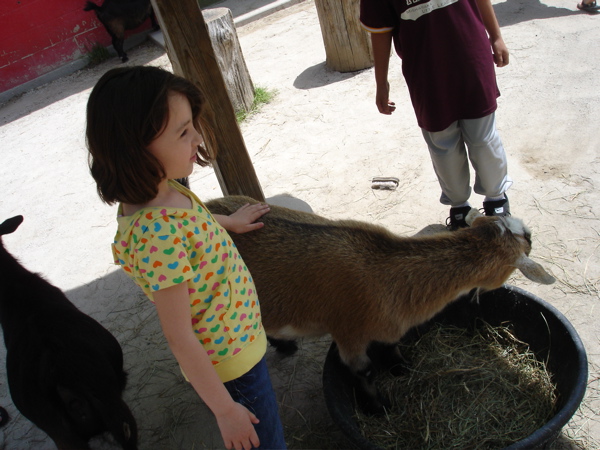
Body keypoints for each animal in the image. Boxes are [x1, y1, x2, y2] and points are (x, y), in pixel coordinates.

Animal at [205, 195, 552, 414]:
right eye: (528, 240)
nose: (531, 232)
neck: (384, 273)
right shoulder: (348, 332)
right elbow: (365, 370)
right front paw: (380, 408)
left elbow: (391, 347)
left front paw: (401, 368)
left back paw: (285, 345)